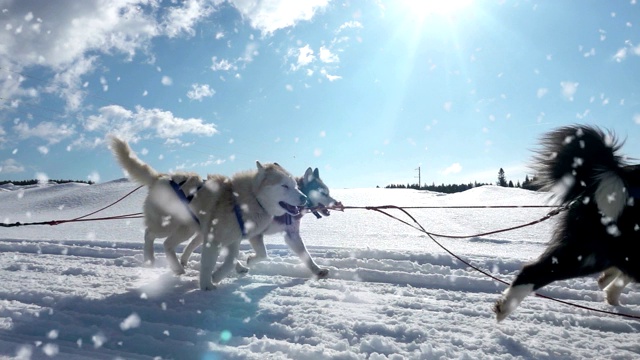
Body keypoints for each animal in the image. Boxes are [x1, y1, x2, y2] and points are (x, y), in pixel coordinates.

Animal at [110, 136, 308, 292]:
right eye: (284, 186)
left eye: (295, 186)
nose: (305, 198)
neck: (246, 199)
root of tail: (160, 177)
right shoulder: (213, 240)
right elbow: (208, 264)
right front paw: (207, 285)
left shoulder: (233, 240)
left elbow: (232, 260)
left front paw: (218, 275)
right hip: (167, 225)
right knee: (149, 234)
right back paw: (149, 259)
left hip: (187, 229)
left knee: (167, 244)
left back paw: (177, 268)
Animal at [178, 167, 342, 278]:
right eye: (323, 193)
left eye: (328, 192)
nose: (336, 203)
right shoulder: (255, 234)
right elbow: (263, 254)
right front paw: (250, 259)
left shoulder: (291, 235)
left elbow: (306, 256)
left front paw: (317, 270)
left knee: (194, 243)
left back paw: (185, 260)